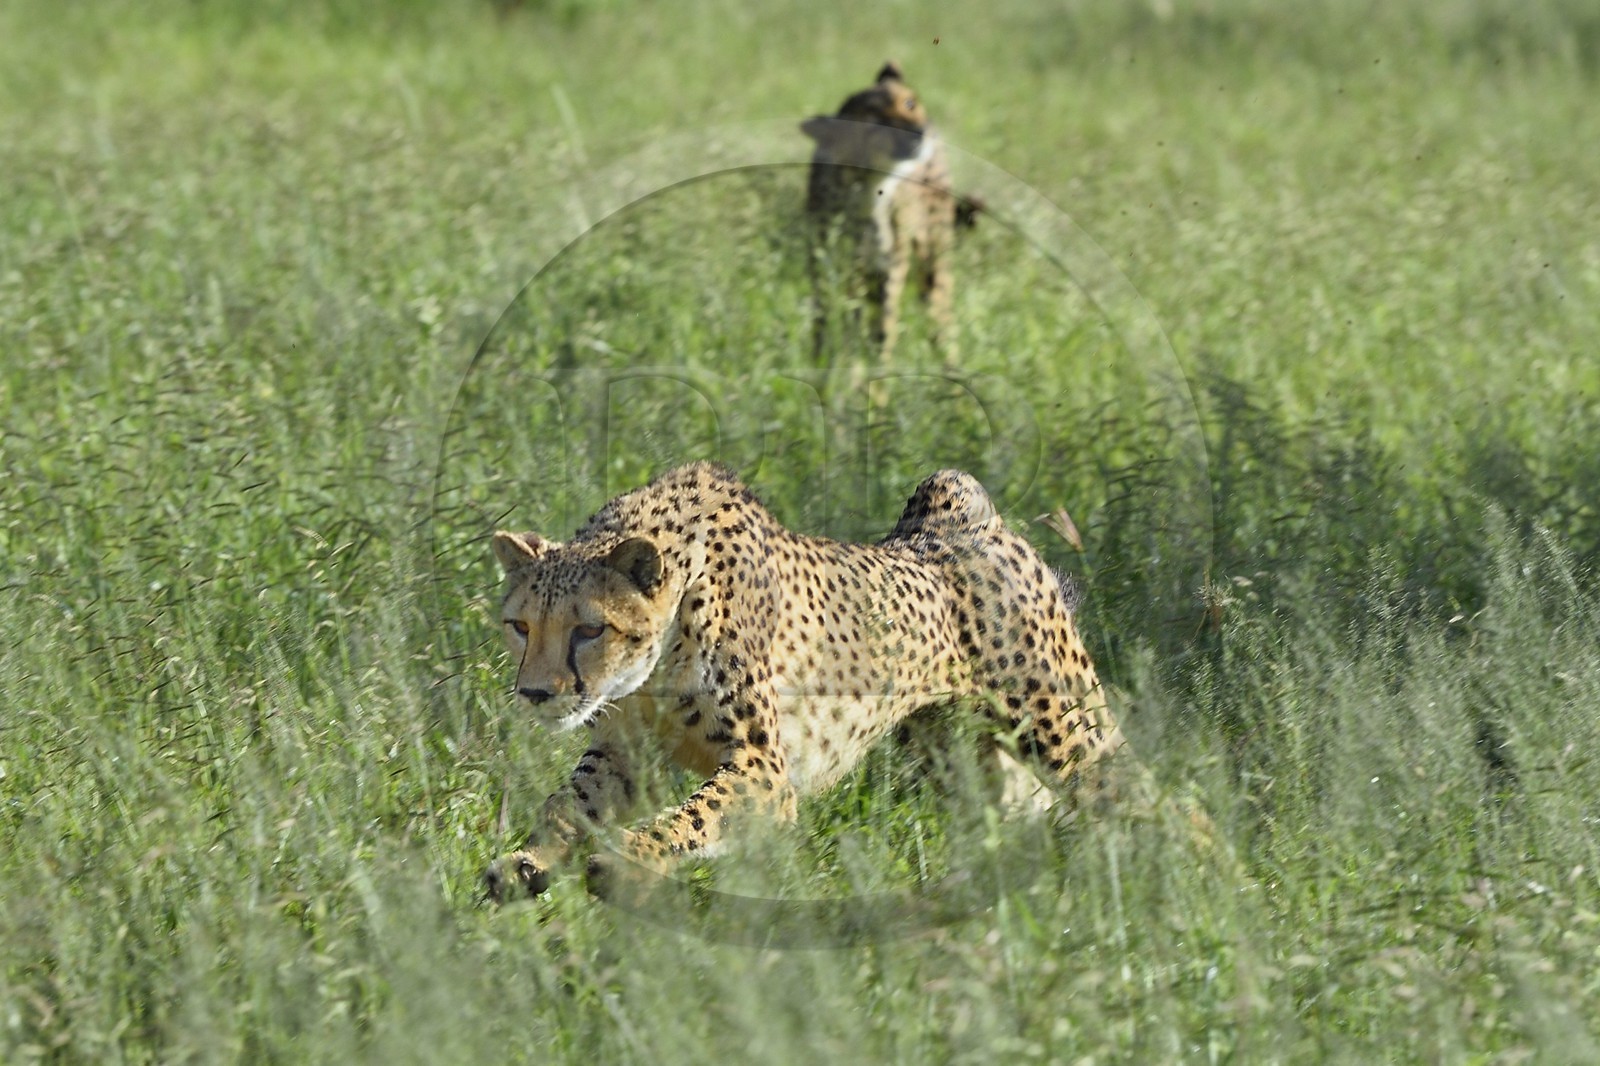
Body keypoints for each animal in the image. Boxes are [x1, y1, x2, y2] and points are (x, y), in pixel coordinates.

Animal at [481, 461, 1127, 902]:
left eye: (590, 629)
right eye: (520, 625)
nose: (535, 693)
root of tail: (957, 517)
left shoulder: (765, 771)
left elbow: (692, 816)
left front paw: (626, 857)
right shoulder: (624, 753)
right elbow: (567, 802)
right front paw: (527, 859)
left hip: (1062, 731)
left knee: (1130, 791)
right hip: (961, 758)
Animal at [801, 61, 976, 361]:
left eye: (908, 103)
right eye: (875, 123)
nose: (920, 131)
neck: (870, 186)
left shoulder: (889, 269)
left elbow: (880, 331)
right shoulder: (834, 269)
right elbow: (831, 323)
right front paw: (824, 364)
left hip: (933, 264)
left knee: (941, 321)